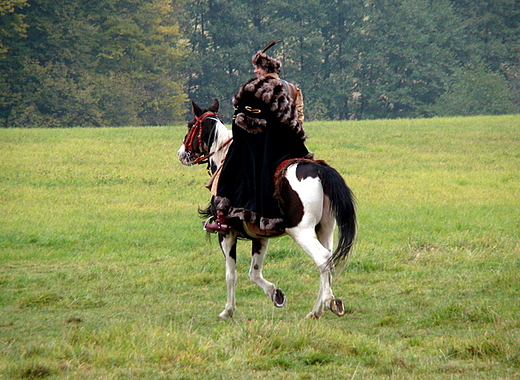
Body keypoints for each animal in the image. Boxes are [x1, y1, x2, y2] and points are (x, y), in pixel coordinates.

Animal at [177, 99, 356, 320]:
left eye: (190, 126)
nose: (181, 153)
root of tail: (319, 170)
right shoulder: (260, 236)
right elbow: (254, 272)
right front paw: (276, 294)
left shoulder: (226, 234)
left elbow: (231, 274)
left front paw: (228, 311)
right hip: (325, 228)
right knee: (328, 260)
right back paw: (316, 310)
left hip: (301, 231)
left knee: (322, 259)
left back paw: (329, 302)